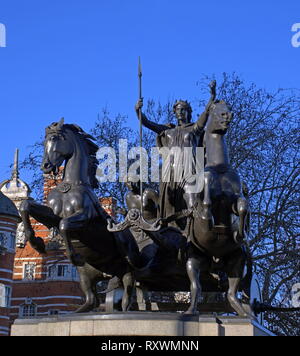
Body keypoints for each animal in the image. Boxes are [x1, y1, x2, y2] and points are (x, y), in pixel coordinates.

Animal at [20, 119, 141, 312]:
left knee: (126, 296)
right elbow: (26, 206)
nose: (45, 166)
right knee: (92, 300)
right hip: (87, 275)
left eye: (54, 138)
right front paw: (37, 243)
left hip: (128, 269)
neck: (71, 185)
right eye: (44, 141)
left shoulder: (85, 218)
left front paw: (74, 256)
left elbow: (65, 225)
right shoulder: (52, 215)